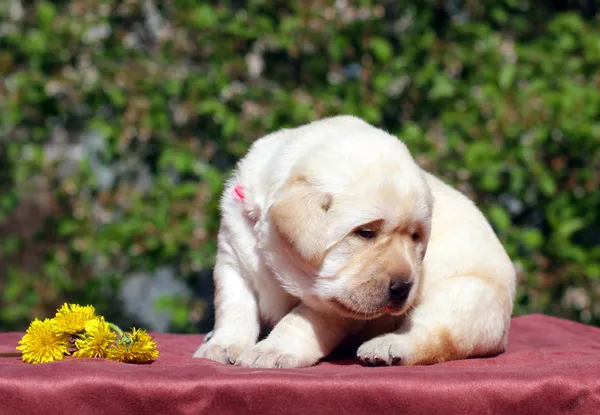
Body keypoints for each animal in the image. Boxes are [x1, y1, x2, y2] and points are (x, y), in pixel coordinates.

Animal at [193, 115, 516, 368]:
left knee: (434, 335)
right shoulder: (233, 261)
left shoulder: (332, 306)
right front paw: (222, 345)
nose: (403, 288)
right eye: (365, 233)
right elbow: (234, 308)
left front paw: (273, 350)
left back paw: (386, 347)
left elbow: (299, 321)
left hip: (467, 296)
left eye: (415, 237)